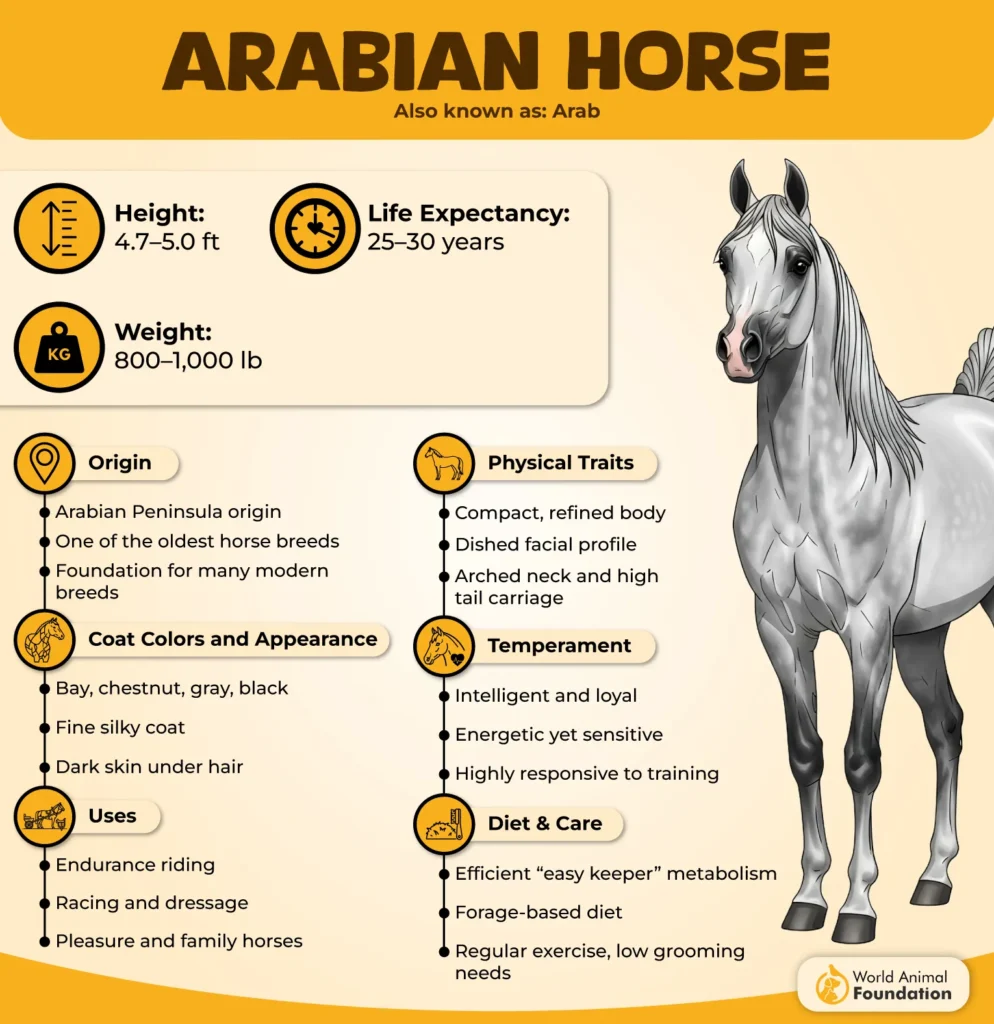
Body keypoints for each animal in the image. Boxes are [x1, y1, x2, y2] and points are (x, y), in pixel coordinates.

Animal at [715, 159, 994, 945]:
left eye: (798, 260)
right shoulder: (781, 631)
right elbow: (806, 755)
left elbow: (860, 761)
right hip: (925, 635)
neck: (814, 484)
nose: (739, 349)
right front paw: (807, 897)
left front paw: (857, 908)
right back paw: (934, 879)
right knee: (947, 729)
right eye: (725, 257)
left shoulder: (867, 633)